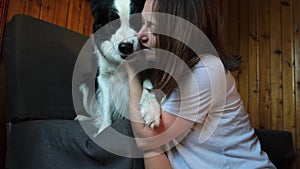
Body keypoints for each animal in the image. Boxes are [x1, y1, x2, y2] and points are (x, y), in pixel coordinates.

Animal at [76, 0, 161, 136]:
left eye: (138, 19)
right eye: (112, 23)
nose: (126, 47)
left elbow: (148, 84)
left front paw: (151, 108)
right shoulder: (103, 76)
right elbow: (106, 108)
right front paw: (103, 130)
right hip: (83, 85)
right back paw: (83, 117)